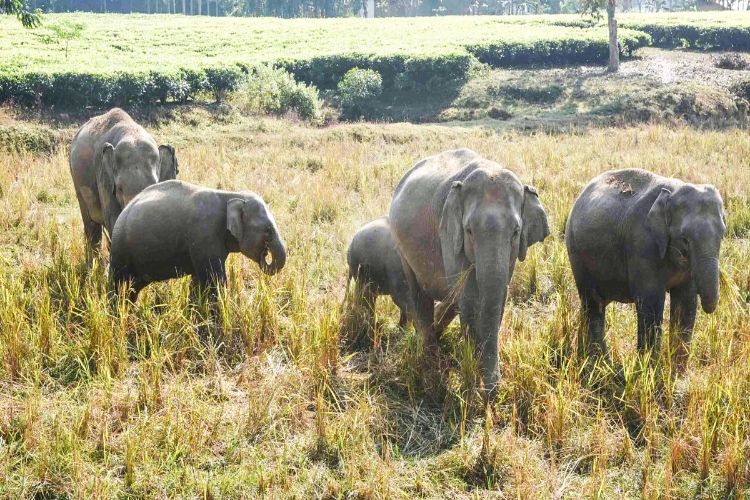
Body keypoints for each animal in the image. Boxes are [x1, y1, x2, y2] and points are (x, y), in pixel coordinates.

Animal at [69, 108, 178, 260]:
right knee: (91, 226)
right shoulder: (103, 175)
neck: (131, 132)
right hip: (76, 179)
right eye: (119, 189)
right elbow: (113, 220)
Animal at [110, 180, 286, 300]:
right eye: (268, 231)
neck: (231, 195)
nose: (264, 254)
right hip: (120, 250)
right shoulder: (205, 233)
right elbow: (214, 282)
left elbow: (198, 282)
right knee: (118, 283)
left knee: (133, 287)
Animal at [389, 148, 550, 399]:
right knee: (420, 296)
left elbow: (498, 296)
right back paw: (431, 362)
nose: (492, 394)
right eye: (469, 230)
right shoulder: (449, 234)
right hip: (402, 248)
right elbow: (469, 297)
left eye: (516, 231)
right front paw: (472, 374)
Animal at [565, 168, 726, 365]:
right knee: (593, 304)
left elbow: (686, 301)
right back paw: (600, 363)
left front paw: (676, 369)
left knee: (591, 304)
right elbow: (651, 303)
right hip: (577, 254)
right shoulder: (642, 243)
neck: (672, 192)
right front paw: (649, 369)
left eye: (723, 235)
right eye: (685, 239)